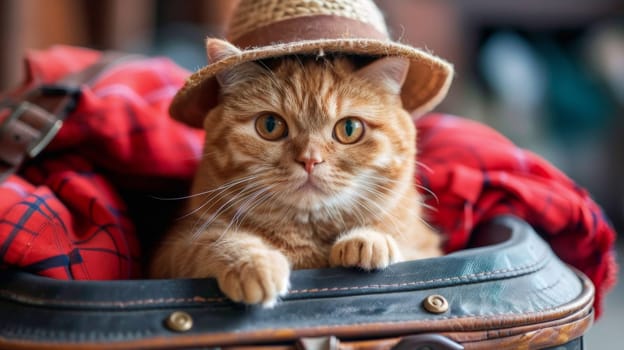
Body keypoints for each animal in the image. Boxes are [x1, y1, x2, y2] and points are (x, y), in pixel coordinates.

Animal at [149, 39, 442, 306]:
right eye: (270, 125)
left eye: (349, 129)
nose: (310, 160)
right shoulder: (173, 250)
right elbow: (215, 241)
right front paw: (255, 263)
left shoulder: (428, 248)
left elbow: (404, 245)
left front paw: (368, 240)